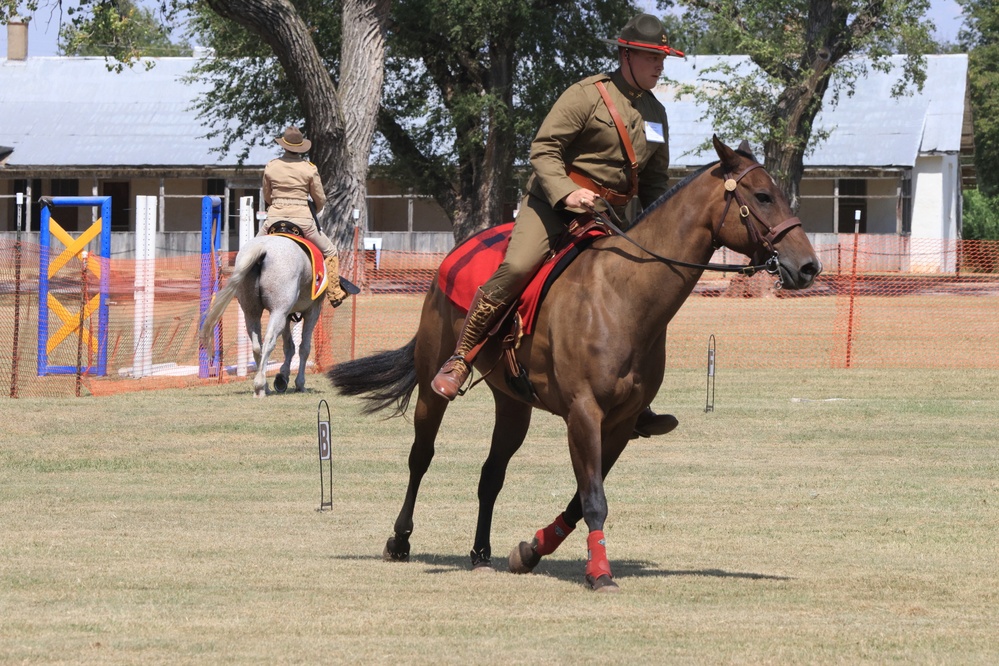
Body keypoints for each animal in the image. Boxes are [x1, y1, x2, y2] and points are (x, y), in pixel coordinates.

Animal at [201, 235, 326, 394]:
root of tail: (263, 248)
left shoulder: (287, 315)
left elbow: (289, 347)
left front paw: (282, 377)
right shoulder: (312, 311)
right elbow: (303, 348)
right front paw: (299, 383)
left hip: (252, 312)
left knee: (257, 345)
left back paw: (264, 384)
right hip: (278, 311)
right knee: (268, 341)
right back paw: (260, 384)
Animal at [328, 134, 820, 588]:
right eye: (763, 196)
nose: (809, 267)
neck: (624, 294)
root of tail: (451, 258)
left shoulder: (619, 423)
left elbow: (581, 499)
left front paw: (530, 549)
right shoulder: (584, 413)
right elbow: (593, 500)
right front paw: (599, 572)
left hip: (513, 404)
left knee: (491, 474)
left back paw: (481, 552)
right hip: (435, 384)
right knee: (421, 457)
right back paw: (400, 540)